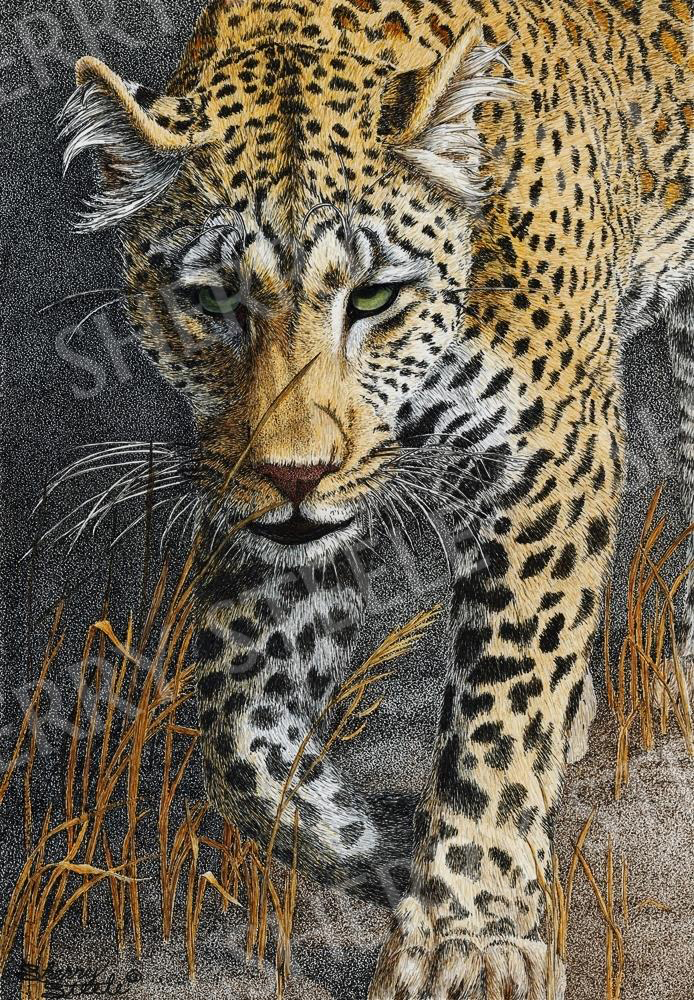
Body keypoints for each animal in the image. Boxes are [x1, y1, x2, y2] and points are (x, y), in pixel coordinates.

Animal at [58, 0, 693, 996]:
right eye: (211, 302)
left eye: (375, 297)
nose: (297, 473)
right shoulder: (264, 519)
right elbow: (235, 727)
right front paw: (384, 846)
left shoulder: (549, 453)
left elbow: (501, 706)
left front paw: (472, 931)